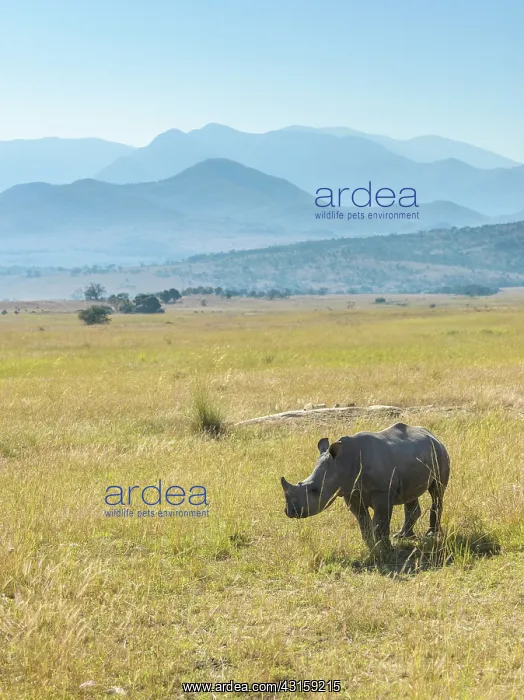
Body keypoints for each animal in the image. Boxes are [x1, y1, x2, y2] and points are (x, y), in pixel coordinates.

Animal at [281, 422, 450, 549]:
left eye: (315, 490)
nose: (290, 512)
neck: (341, 462)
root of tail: (432, 435)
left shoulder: (382, 491)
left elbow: (380, 522)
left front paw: (384, 548)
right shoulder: (350, 492)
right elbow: (363, 520)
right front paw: (369, 544)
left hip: (440, 453)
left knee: (437, 492)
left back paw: (431, 535)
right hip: (414, 457)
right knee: (410, 494)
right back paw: (403, 536)